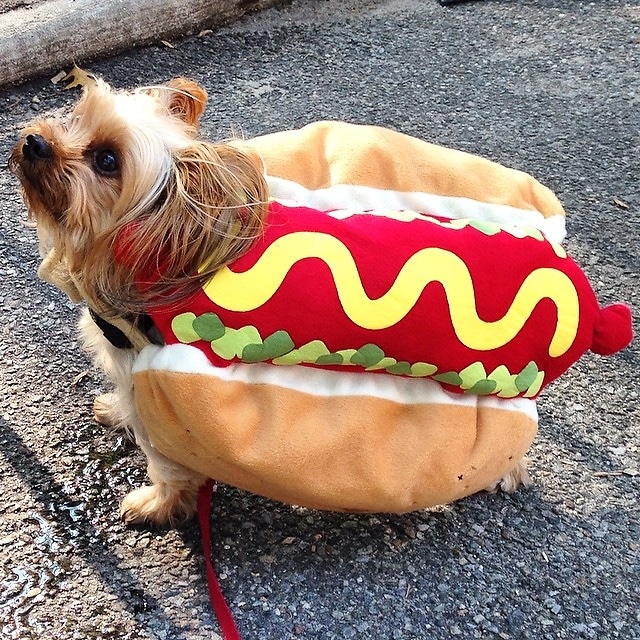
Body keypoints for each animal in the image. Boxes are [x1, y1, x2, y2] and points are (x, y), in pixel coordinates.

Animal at [11, 75, 632, 524]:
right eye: (73, 114)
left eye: (108, 160)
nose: (33, 141)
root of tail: (592, 308)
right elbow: (123, 397)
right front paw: (113, 411)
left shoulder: (158, 389)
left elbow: (168, 464)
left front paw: (156, 505)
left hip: (493, 379)